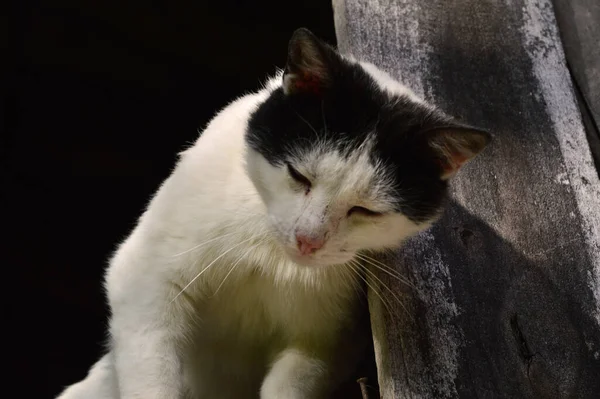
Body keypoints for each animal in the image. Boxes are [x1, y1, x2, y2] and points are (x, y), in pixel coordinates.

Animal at [57, 28, 492, 399]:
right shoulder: (145, 277)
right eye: (299, 175)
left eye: (365, 210)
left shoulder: (324, 343)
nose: (307, 241)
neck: (269, 255)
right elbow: (152, 372)